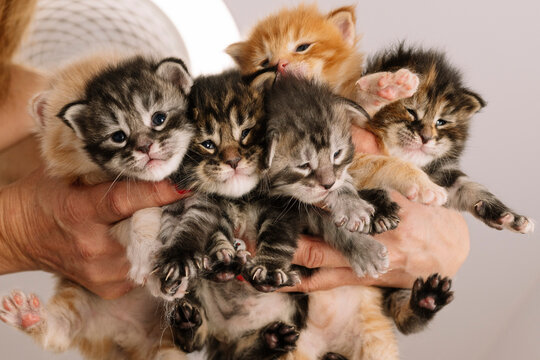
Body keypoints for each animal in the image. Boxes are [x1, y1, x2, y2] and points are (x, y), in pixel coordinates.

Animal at [0, 54, 194, 360]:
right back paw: (29, 317)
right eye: (116, 135)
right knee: (60, 333)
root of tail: (125, 337)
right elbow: (138, 217)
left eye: (158, 119)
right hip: (79, 298)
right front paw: (147, 258)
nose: (144, 147)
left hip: (164, 346)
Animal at [360, 43, 532, 233]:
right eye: (410, 111)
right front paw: (381, 213)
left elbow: (471, 187)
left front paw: (509, 216)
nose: (426, 137)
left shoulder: (444, 173)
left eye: (441, 122)